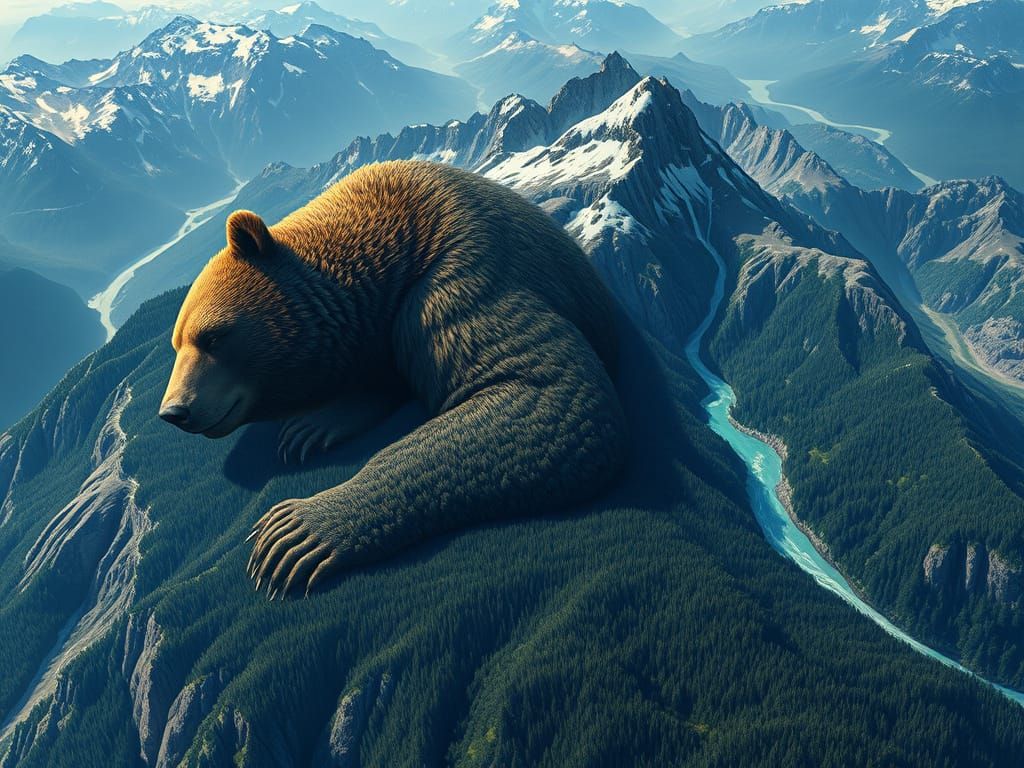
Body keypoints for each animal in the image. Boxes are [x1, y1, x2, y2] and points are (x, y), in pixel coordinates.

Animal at [160, 160, 628, 597]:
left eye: (213, 336)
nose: (174, 411)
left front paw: (294, 528)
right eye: (176, 342)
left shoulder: (454, 280)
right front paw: (311, 426)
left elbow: (543, 392)